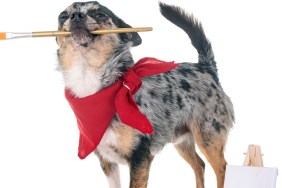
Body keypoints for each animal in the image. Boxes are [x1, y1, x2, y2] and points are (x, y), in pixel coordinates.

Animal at [56, 0, 235, 187]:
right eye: (63, 16)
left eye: (100, 14)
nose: (76, 16)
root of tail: (206, 68)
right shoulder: (107, 161)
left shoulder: (140, 158)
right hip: (181, 140)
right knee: (199, 165)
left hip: (208, 139)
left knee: (222, 168)